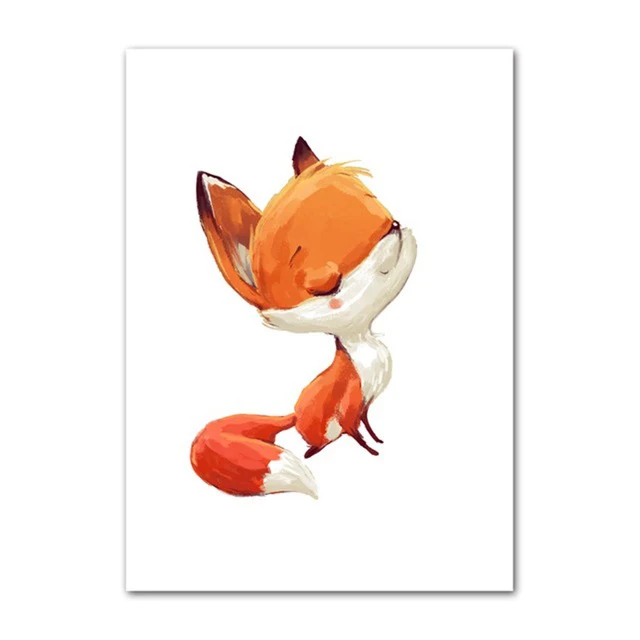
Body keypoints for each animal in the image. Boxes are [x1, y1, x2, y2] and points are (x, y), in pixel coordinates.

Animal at [190, 137, 417, 499]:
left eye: (386, 221)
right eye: (328, 283)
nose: (394, 230)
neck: (365, 350)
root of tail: (293, 413)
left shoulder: (367, 406)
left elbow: (368, 427)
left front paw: (379, 442)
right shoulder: (350, 408)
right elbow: (358, 433)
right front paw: (373, 453)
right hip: (320, 425)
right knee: (314, 445)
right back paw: (314, 452)